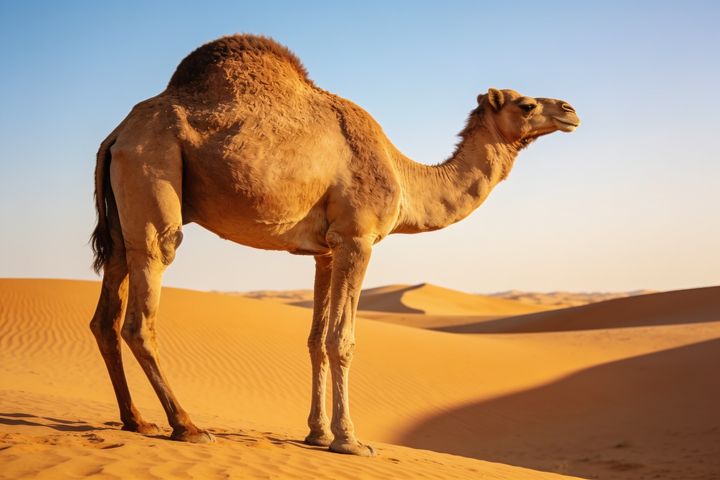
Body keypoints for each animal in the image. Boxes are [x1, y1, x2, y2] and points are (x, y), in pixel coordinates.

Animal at [89, 34, 580, 456]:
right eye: (527, 104)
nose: (571, 109)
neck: (402, 176)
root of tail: (116, 135)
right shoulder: (357, 240)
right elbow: (342, 340)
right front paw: (350, 441)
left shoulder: (326, 252)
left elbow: (314, 340)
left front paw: (317, 435)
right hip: (153, 173)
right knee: (143, 305)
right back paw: (187, 426)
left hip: (121, 213)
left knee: (106, 313)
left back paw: (136, 420)